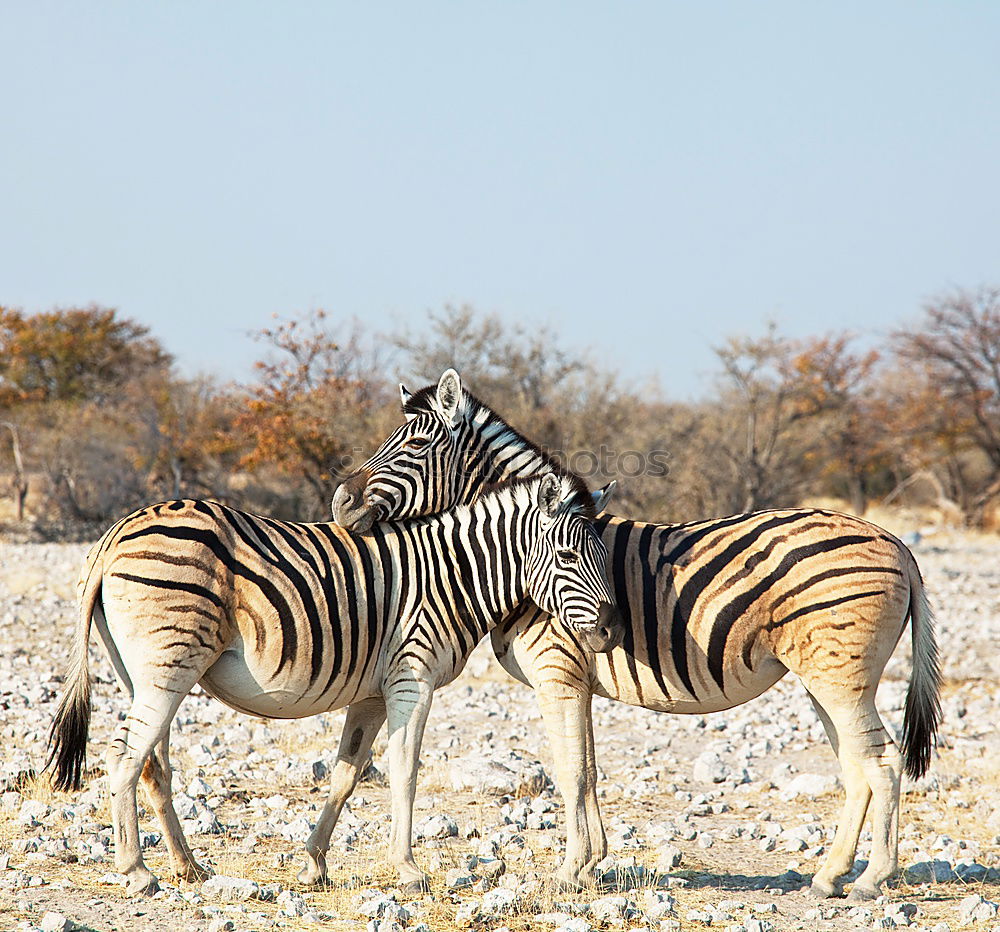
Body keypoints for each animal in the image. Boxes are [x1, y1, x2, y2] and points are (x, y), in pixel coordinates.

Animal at [50, 474, 624, 896]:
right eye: (569, 557)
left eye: (602, 557)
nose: (611, 633)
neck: (453, 575)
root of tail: (114, 533)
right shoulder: (413, 677)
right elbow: (405, 773)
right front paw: (408, 870)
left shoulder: (372, 693)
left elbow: (346, 777)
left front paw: (315, 865)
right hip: (168, 665)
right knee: (123, 756)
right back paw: (136, 872)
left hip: (145, 672)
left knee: (153, 765)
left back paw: (188, 867)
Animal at [332, 368, 940, 900]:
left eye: (412, 444)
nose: (341, 505)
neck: (519, 554)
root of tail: (896, 543)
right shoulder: (578, 677)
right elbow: (590, 768)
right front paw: (591, 865)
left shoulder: (557, 671)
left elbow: (570, 771)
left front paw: (569, 872)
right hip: (825, 677)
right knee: (857, 768)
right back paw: (830, 876)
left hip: (840, 675)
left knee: (882, 763)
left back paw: (870, 880)